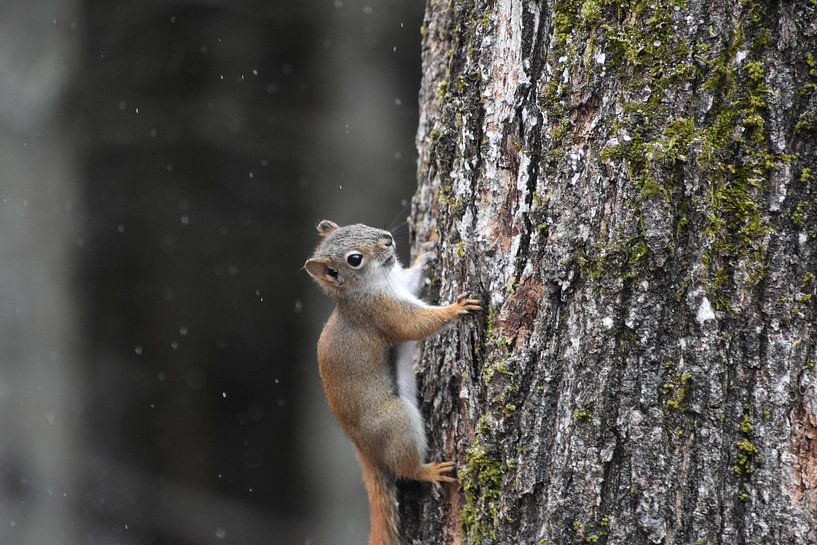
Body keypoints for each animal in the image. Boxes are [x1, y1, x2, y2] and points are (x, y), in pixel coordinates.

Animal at [304, 220, 481, 545]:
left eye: (359, 225)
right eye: (354, 259)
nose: (388, 240)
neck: (378, 282)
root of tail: (362, 448)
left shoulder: (403, 286)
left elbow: (413, 278)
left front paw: (427, 252)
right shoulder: (382, 314)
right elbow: (415, 325)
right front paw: (455, 308)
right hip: (397, 421)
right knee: (405, 468)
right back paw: (429, 471)